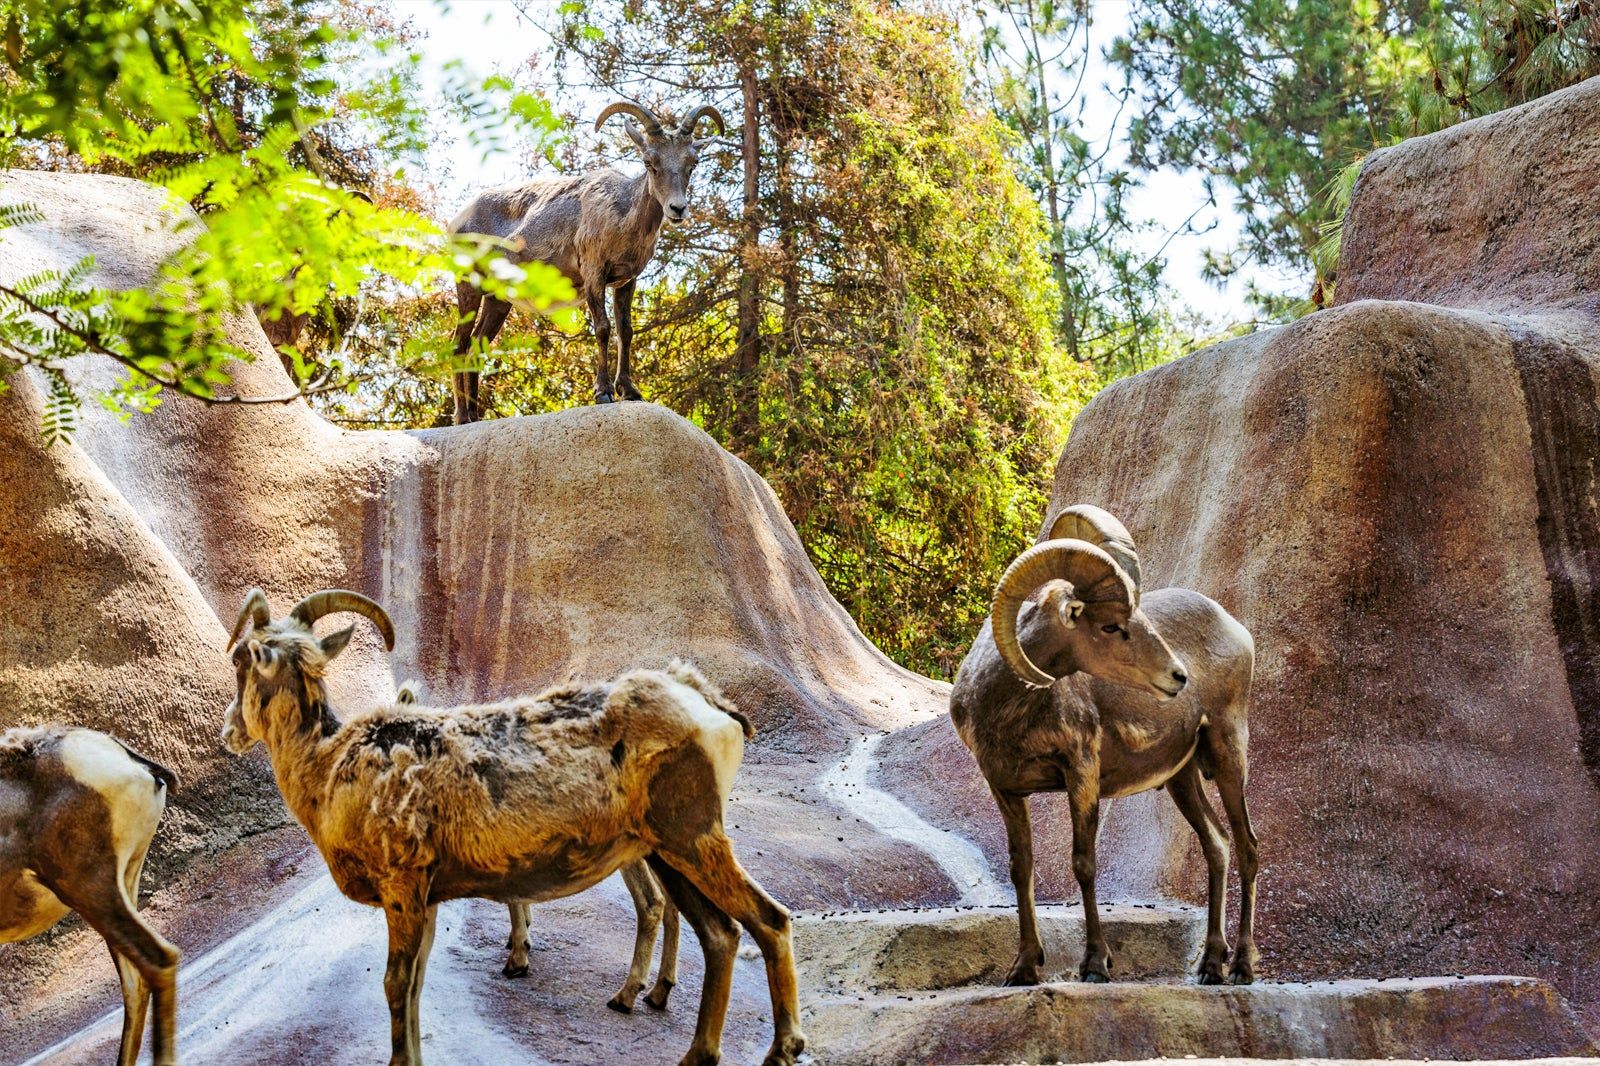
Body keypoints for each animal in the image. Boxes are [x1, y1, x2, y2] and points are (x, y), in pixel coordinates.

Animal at [446, 100, 726, 422]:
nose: (677, 209)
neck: (622, 217)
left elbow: (625, 330)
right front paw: (603, 393)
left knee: (476, 348)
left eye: (692, 163)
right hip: (468, 285)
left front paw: (630, 391)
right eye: (649, 162)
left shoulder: (626, 281)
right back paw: (462, 417)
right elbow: (603, 328)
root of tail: (457, 221)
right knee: (459, 344)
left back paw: (475, 417)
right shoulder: (594, 273)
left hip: (498, 300)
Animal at [949, 505, 1259, 986]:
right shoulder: (1005, 789)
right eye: (1111, 626)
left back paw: (1242, 966)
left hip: (1229, 754)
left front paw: (1095, 964)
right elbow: (1022, 869)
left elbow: (1084, 864)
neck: (1007, 710)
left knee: (1247, 848)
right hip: (1182, 779)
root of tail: (1238, 632)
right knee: (1218, 845)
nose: (1178, 676)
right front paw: (1023, 968)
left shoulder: (1082, 773)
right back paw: (1210, 966)